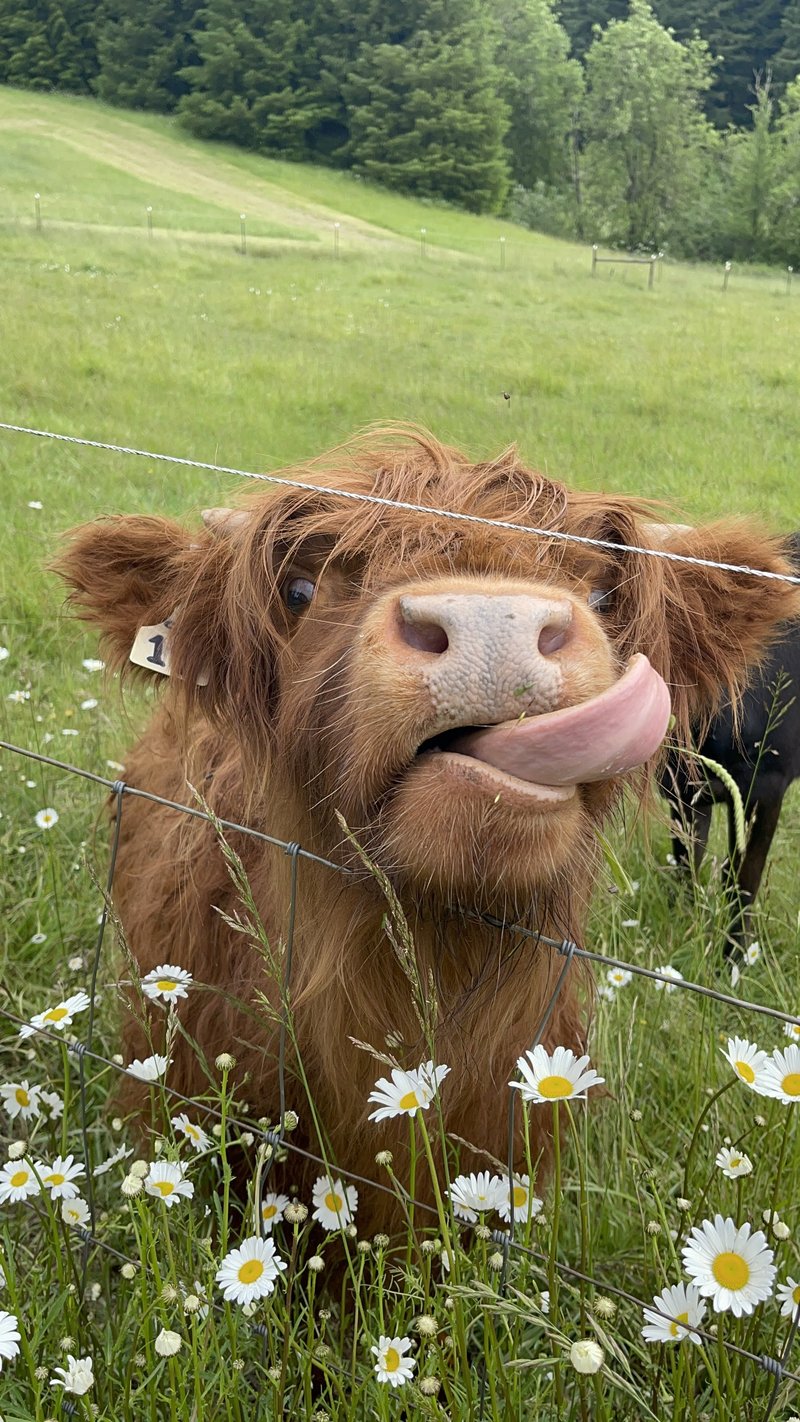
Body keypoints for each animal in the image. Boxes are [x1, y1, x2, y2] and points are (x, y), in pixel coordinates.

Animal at [660, 533, 800, 956]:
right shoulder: (686, 791)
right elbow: (688, 860)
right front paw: (685, 923)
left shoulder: (767, 787)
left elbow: (742, 882)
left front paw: (733, 958)